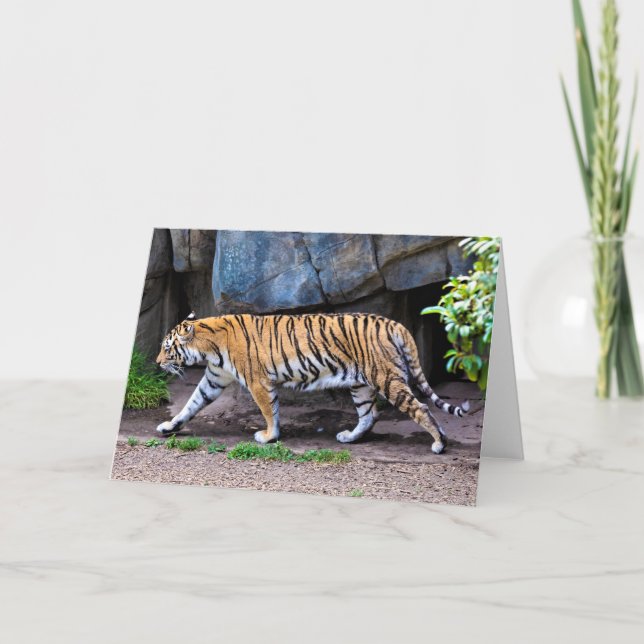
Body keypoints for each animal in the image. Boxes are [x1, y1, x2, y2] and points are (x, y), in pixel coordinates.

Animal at [155, 311, 469, 454]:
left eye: (167, 348)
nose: (157, 362)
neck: (209, 347)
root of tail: (394, 323)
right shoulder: (214, 379)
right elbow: (191, 404)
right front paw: (169, 426)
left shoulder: (258, 382)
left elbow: (269, 411)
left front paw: (268, 437)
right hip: (360, 384)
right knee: (369, 415)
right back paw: (349, 437)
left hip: (387, 378)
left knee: (420, 407)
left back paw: (439, 443)